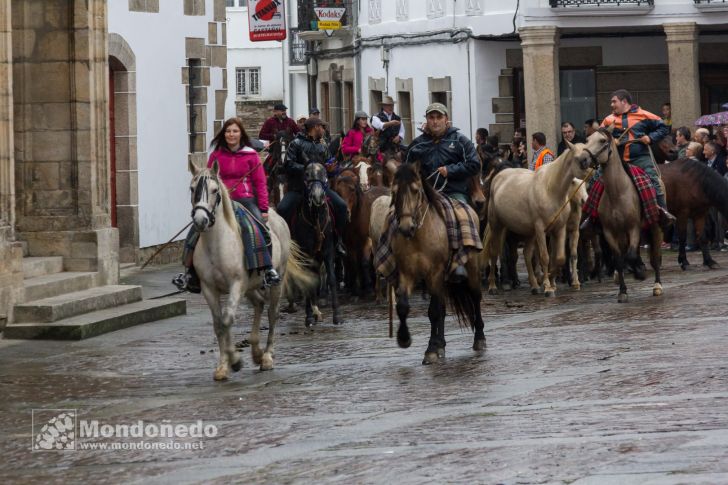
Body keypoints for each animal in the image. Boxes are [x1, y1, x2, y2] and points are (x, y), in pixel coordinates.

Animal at [188, 161, 316, 380]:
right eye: (192, 189)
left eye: (214, 190)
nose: (200, 220)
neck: (217, 244)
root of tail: (275, 215)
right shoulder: (208, 288)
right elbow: (219, 325)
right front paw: (223, 366)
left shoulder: (236, 284)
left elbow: (227, 319)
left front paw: (236, 360)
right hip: (251, 286)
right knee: (258, 303)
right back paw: (256, 351)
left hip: (276, 280)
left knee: (272, 313)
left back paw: (267, 357)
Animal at [288, 162, 340, 326]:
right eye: (306, 174)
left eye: (324, 173)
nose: (318, 196)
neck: (315, 217)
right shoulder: (305, 253)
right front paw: (309, 317)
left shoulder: (328, 251)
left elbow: (332, 278)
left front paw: (337, 316)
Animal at [592, 130, 664, 300]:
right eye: (587, 139)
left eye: (602, 140)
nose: (585, 158)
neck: (617, 193)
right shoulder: (610, 232)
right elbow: (619, 259)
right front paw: (622, 291)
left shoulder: (633, 227)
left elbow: (630, 255)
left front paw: (639, 272)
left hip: (654, 227)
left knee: (655, 257)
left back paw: (657, 285)